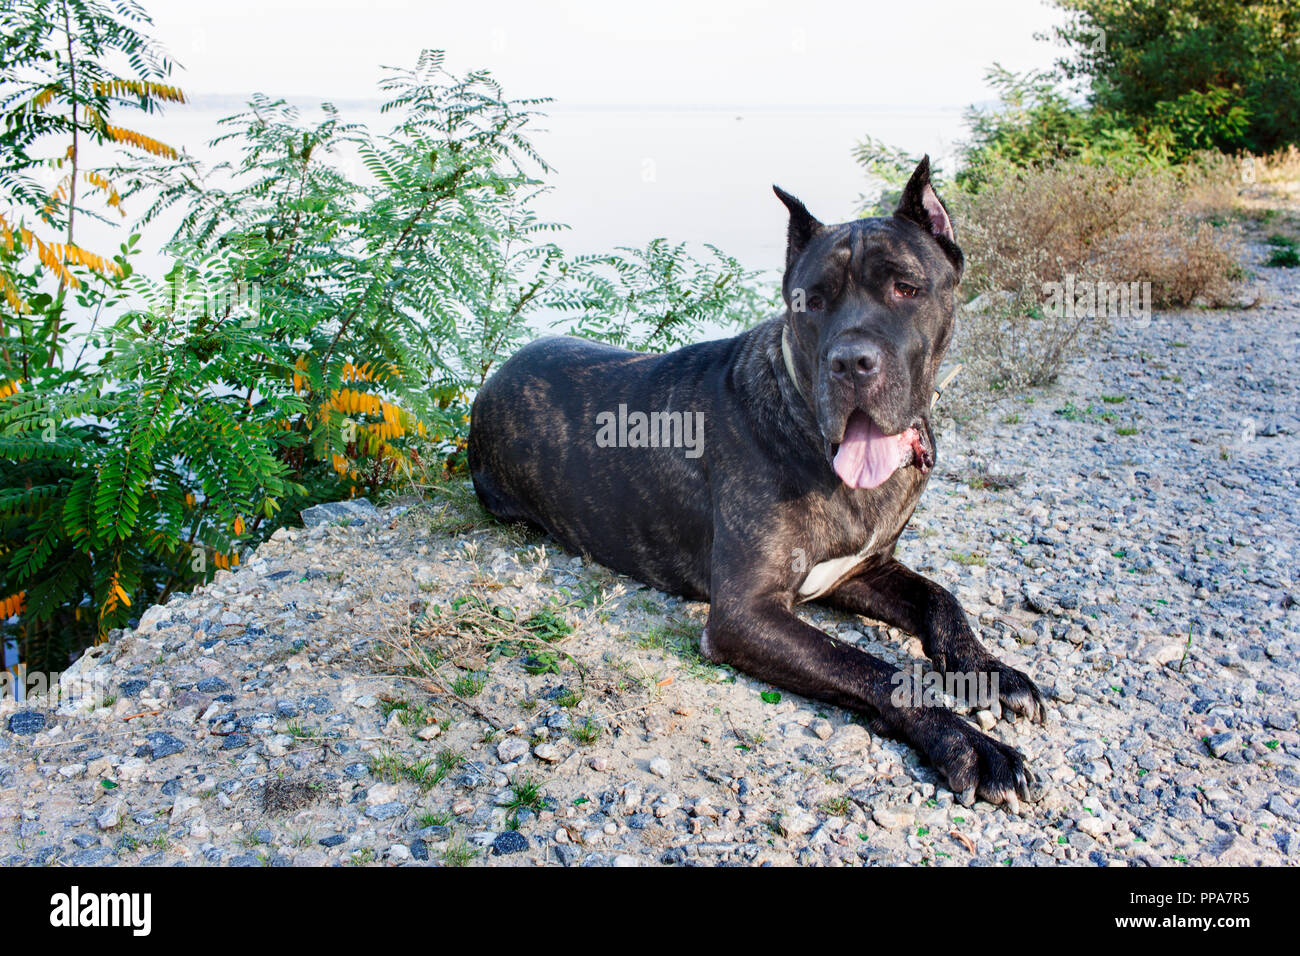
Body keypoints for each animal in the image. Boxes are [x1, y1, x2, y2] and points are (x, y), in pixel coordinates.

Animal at [467, 160, 1045, 811]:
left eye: (906, 288)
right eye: (812, 302)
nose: (851, 362)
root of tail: (492, 378)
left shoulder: (861, 568)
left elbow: (941, 601)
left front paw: (990, 670)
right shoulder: (745, 613)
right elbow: (878, 669)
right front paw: (970, 743)